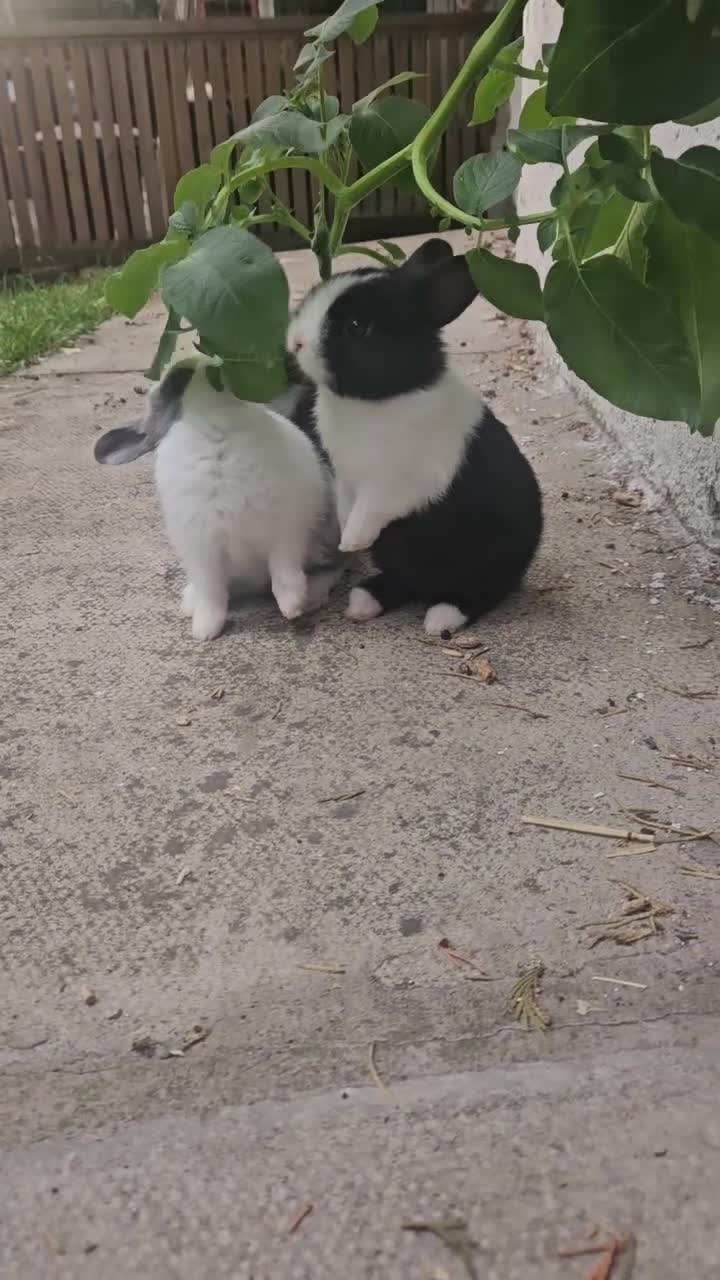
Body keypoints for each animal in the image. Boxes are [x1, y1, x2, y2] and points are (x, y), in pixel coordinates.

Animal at [94, 359, 343, 641]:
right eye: (173, 386)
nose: (194, 364)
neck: (216, 427)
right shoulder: (201, 546)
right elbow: (211, 591)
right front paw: (204, 631)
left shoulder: (288, 525)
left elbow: (283, 568)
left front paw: (291, 606)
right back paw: (190, 602)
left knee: (332, 567)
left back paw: (311, 596)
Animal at [285, 239, 543, 637]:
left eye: (357, 327)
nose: (295, 342)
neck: (382, 398)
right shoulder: (345, 477)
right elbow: (346, 504)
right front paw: (345, 536)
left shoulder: (399, 484)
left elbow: (372, 509)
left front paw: (353, 539)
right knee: (403, 583)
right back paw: (365, 601)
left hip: (487, 565)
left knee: (482, 593)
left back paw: (442, 618)